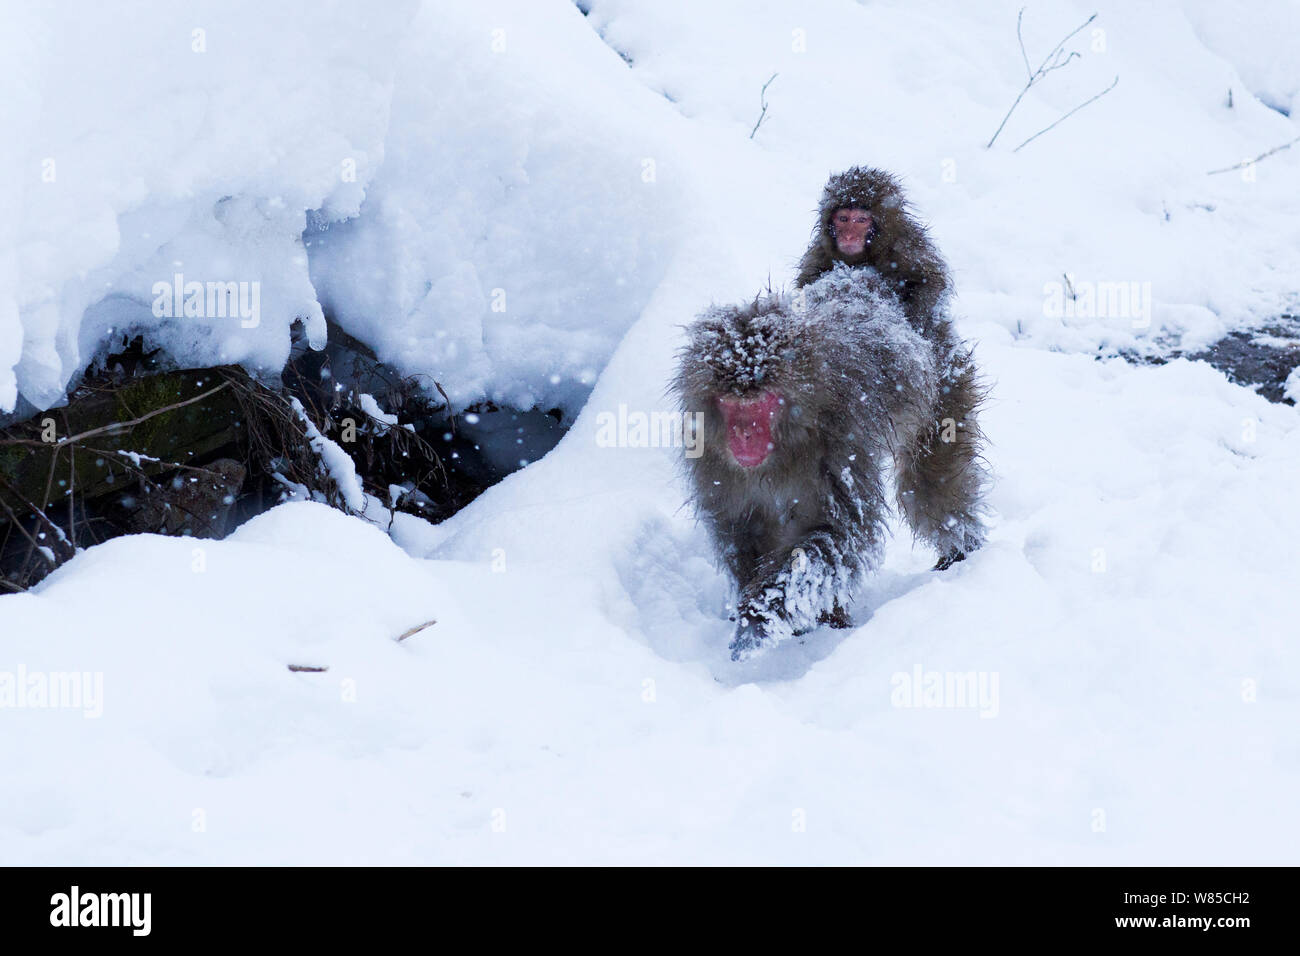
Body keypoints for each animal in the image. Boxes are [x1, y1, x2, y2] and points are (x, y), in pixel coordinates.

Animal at [790, 164, 982, 567]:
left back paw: (959, 547)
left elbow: (930, 285)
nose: (848, 234)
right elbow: (807, 287)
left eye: (862, 219)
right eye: (843, 217)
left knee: (935, 471)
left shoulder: (908, 248)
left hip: (948, 387)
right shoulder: (818, 256)